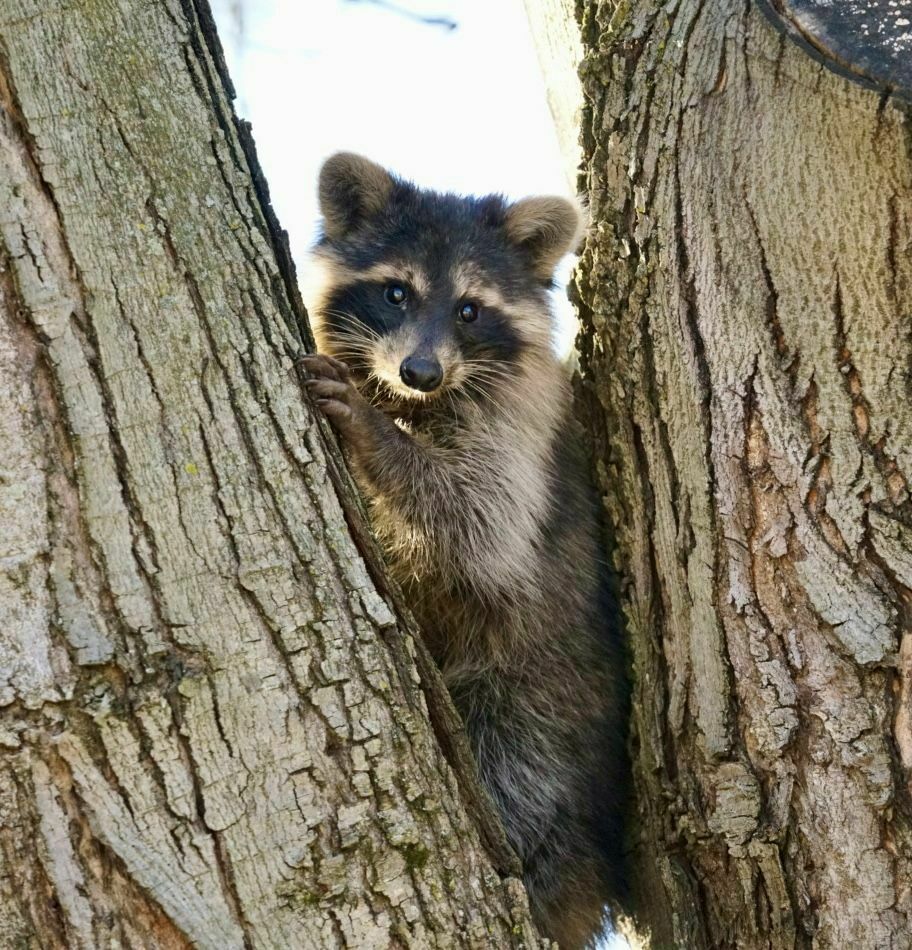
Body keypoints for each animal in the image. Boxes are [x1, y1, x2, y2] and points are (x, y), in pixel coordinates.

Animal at [302, 152, 632, 948]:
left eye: (469, 310)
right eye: (396, 292)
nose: (420, 372)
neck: (415, 401)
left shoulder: (520, 426)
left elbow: (480, 524)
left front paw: (379, 441)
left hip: (540, 702)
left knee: (521, 779)